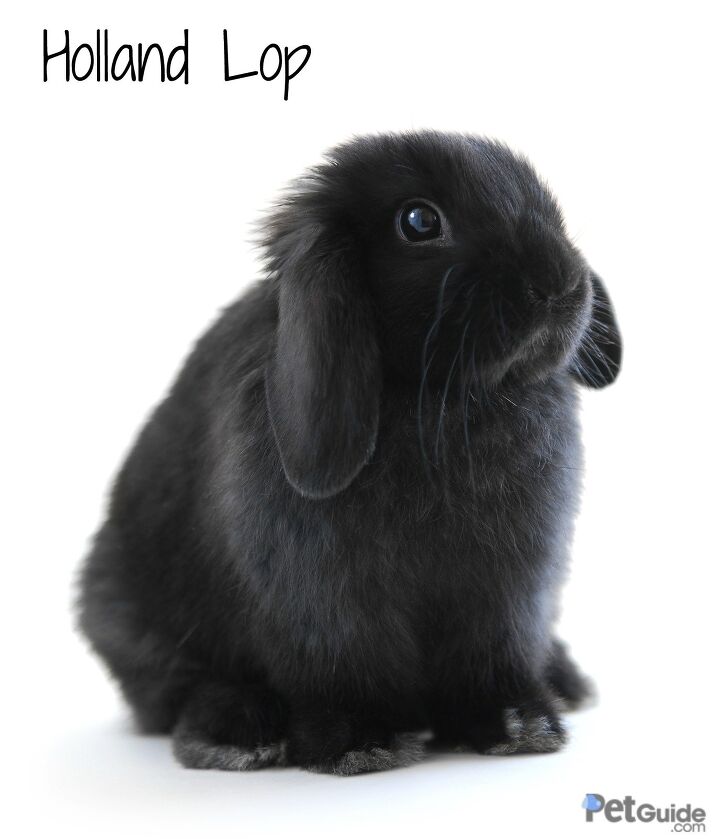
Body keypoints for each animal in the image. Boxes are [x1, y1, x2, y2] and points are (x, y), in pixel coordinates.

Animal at [78, 131, 621, 775]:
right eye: (419, 221)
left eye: (546, 201)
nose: (557, 284)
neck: (445, 401)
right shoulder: (322, 592)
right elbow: (347, 660)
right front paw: (362, 742)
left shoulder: (512, 582)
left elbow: (495, 652)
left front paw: (520, 724)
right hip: (133, 613)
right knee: (176, 687)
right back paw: (235, 732)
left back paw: (566, 683)